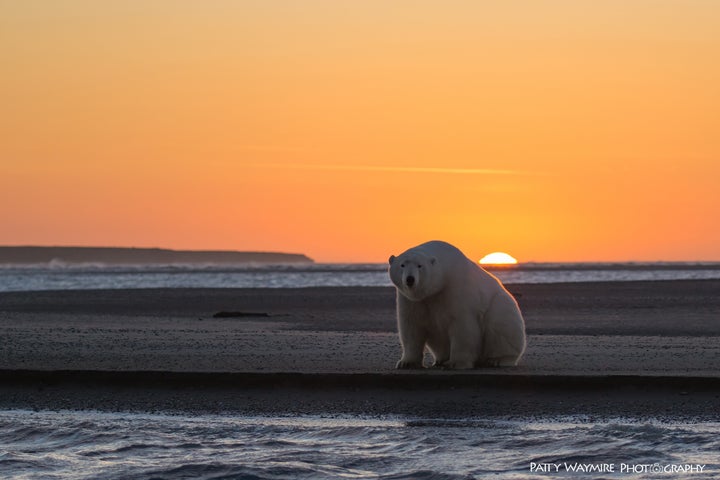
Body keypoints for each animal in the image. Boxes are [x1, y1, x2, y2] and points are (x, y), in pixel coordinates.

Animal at [390, 242, 524, 370]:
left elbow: (462, 326)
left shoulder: (456, 288)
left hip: (499, 304)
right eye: (402, 265)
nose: (410, 279)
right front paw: (406, 363)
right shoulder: (410, 299)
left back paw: (497, 359)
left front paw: (456, 363)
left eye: (420, 266)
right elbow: (411, 326)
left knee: (501, 326)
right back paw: (440, 360)